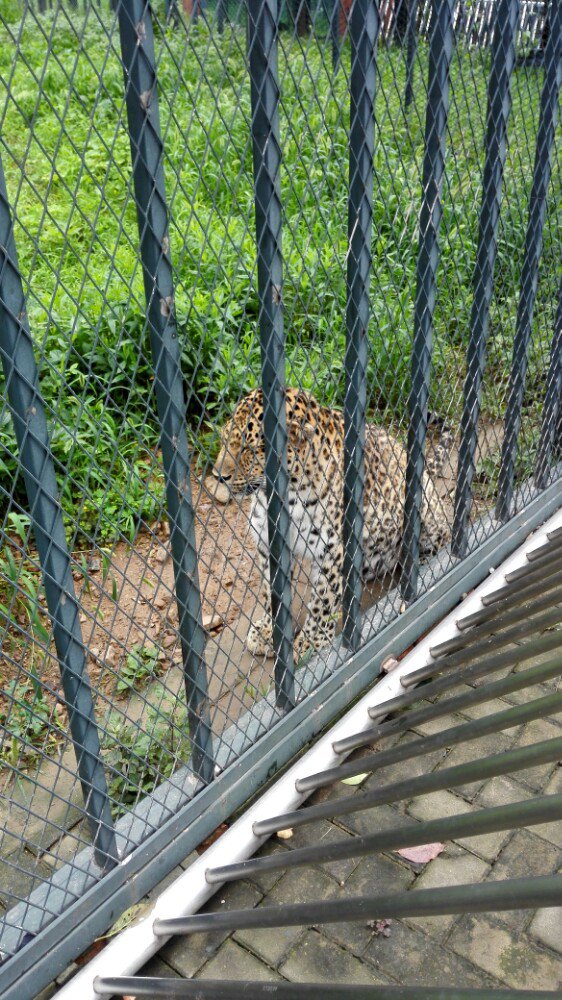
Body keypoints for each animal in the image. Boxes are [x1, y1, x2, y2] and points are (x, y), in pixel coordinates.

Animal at [206, 386, 450, 660]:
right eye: (224, 439)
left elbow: (322, 601)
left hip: (424, 508)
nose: (218, 476)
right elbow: (270, 592)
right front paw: (268, 632)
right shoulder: (268, 543)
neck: (286, 494)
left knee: (440, 536)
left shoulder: (333, 549)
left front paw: (309, 643)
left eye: (251, 447)